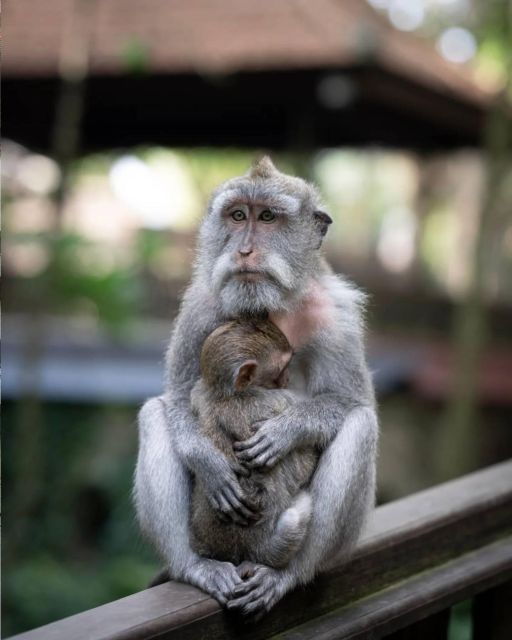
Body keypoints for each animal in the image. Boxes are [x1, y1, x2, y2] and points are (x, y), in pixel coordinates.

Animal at [189, 318, 318, 569]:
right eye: (281, 368)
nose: (287, 379)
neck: (228, 394)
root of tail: (251, 547)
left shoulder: (200, 393)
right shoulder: (280, 399)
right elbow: (308, 457)